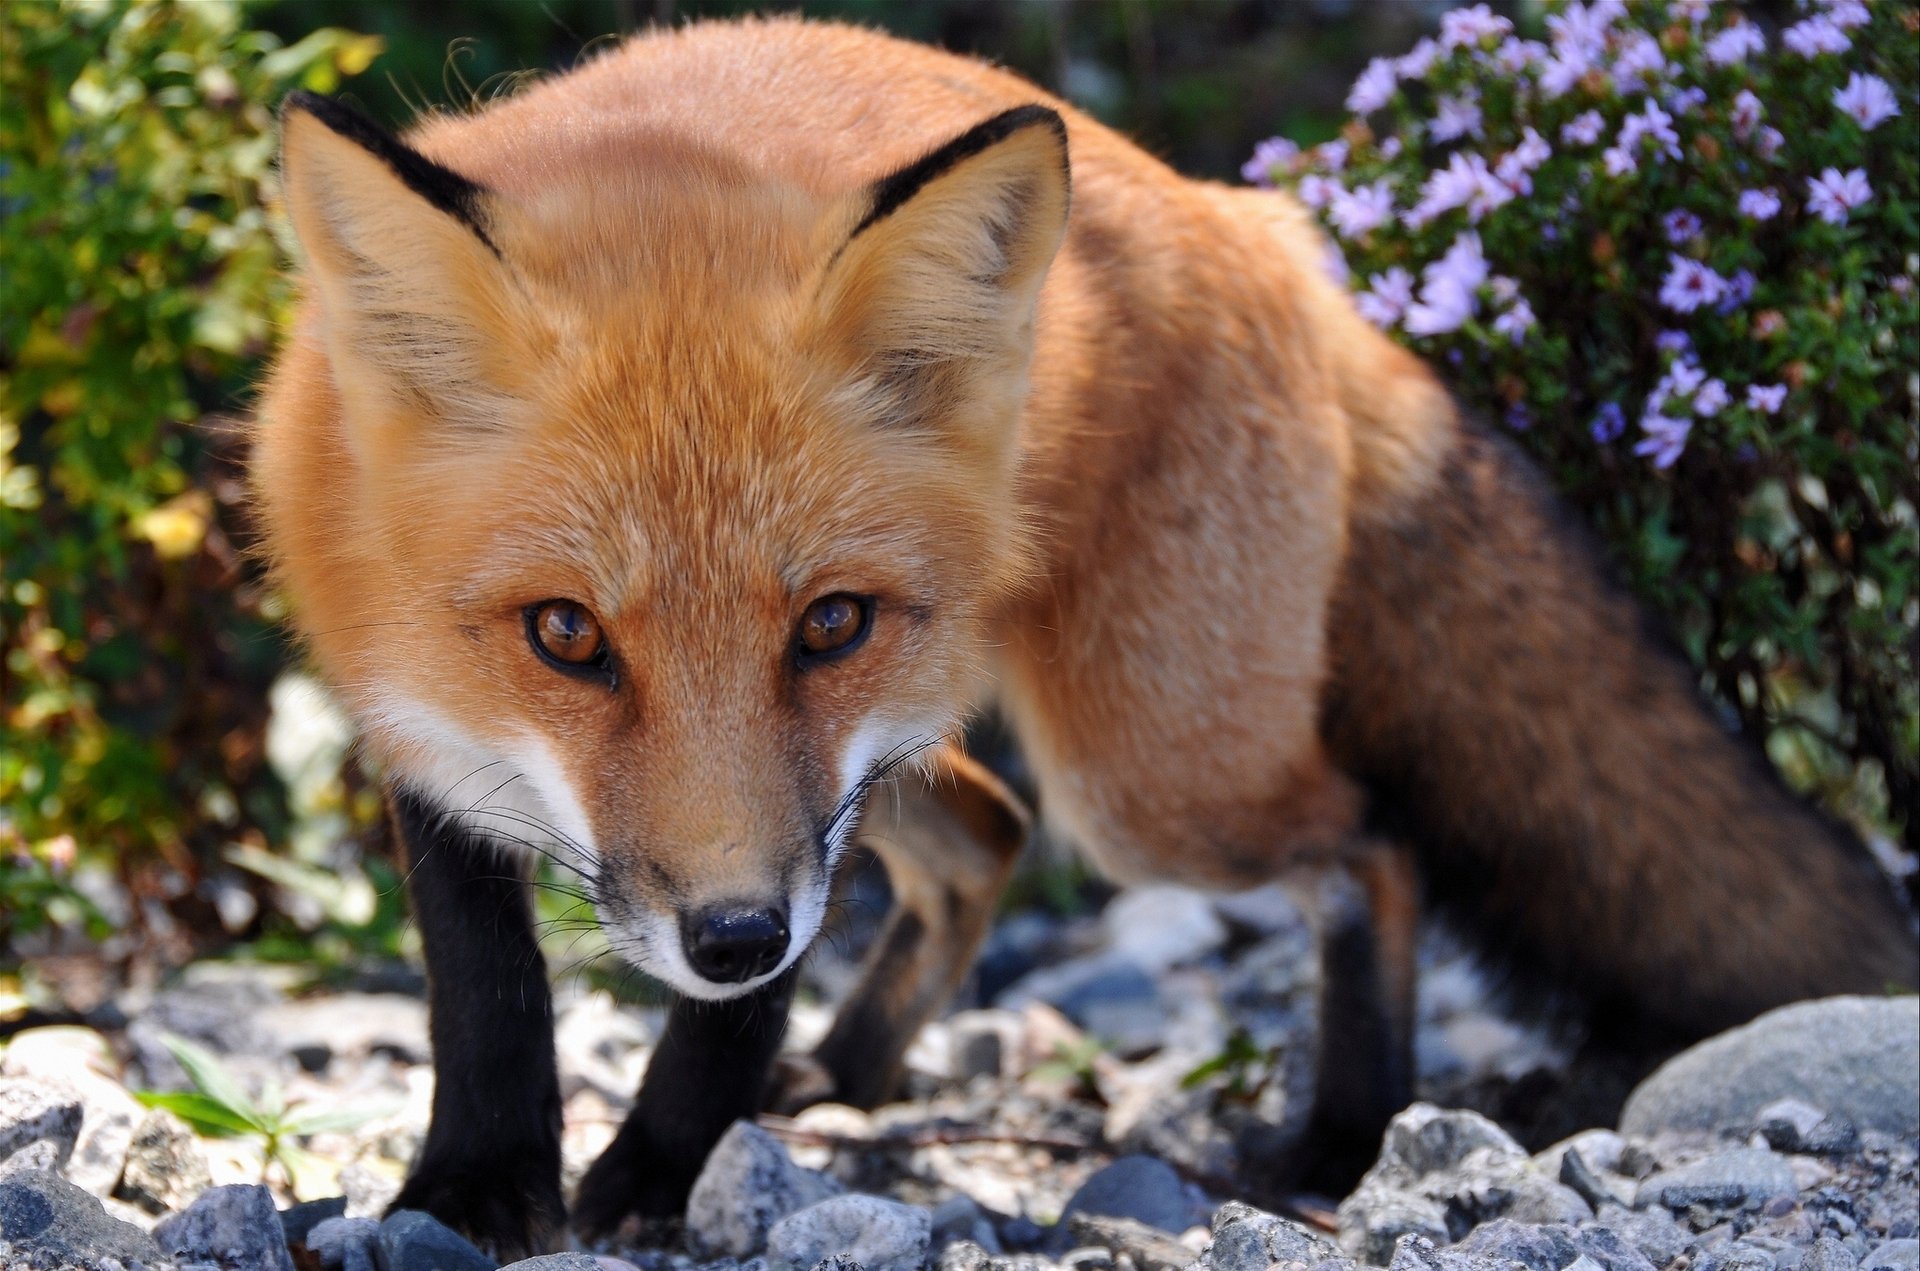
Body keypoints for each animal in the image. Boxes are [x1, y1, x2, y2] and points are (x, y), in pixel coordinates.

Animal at [247, 12, 1912, 1267]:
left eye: (827, 620)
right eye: (566, 635)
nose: (729, 936)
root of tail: (1268, 233)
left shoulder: (807, 808)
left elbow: (716, 1000)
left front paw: (663, 1166)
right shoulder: (418, 718)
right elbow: (483, 983)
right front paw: (473, 1183)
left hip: (1145, 775)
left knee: (1371, 845)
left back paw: (1342, 1130)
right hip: (954, 755)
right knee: (988, 834)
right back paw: (854, 1071)